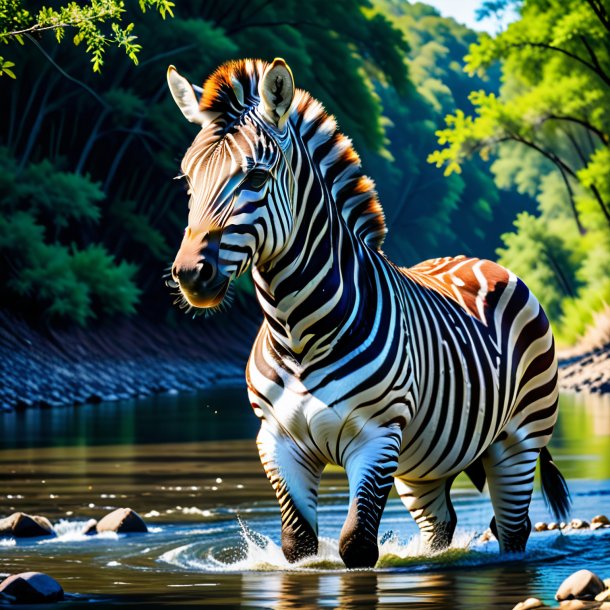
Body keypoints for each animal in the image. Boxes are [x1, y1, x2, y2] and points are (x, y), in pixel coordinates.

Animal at [165, 59, 564, 568]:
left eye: (256, 178)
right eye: (187, 180)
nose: (190, 274)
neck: (297, 332)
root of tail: (484, 261)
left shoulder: (376, 438)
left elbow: (357, 545)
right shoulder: (277, 442)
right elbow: (298, 546)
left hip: (519, 439)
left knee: (513, 529)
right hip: (423, 461)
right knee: (442, 526)